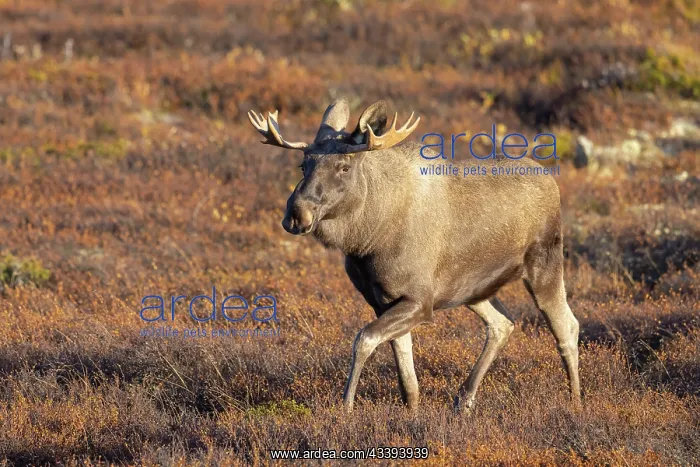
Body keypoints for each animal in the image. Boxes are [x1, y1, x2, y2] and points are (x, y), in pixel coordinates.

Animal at [247, 98, 581, 413]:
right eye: (303, 165)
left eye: (344, 166)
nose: (296, 215)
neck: (366, 240)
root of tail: (550, 178)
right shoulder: (383, 301)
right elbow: (407, 376)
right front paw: (411, 412)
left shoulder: (420, 301)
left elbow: (363, 340)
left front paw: (346, 406)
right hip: (473, 290)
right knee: (503, 324)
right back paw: (464, 400)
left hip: (545, 266)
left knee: (567, 327)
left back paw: (575, 400)